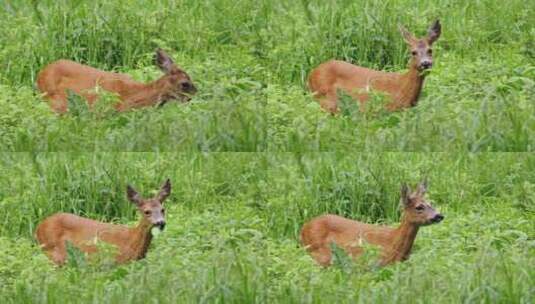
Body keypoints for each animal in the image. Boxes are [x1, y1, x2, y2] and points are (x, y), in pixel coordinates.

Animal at [35, 179, 172, 264]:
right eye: (147, 211)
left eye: (162, 209)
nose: (160, 223)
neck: (131, 242)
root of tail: (38, 227)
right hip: (53, 251)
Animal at [302, 179, 444, 268]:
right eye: (419, 207)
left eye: (431, 203)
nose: (439, 215)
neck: (392, 242)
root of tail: (303, 228)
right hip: (319, 252)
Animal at [308, 19, 442, 114]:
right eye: (413, 52)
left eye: (430, 50)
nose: (425, 63)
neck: (401, 89)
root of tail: (311, 74)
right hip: (326, 96)